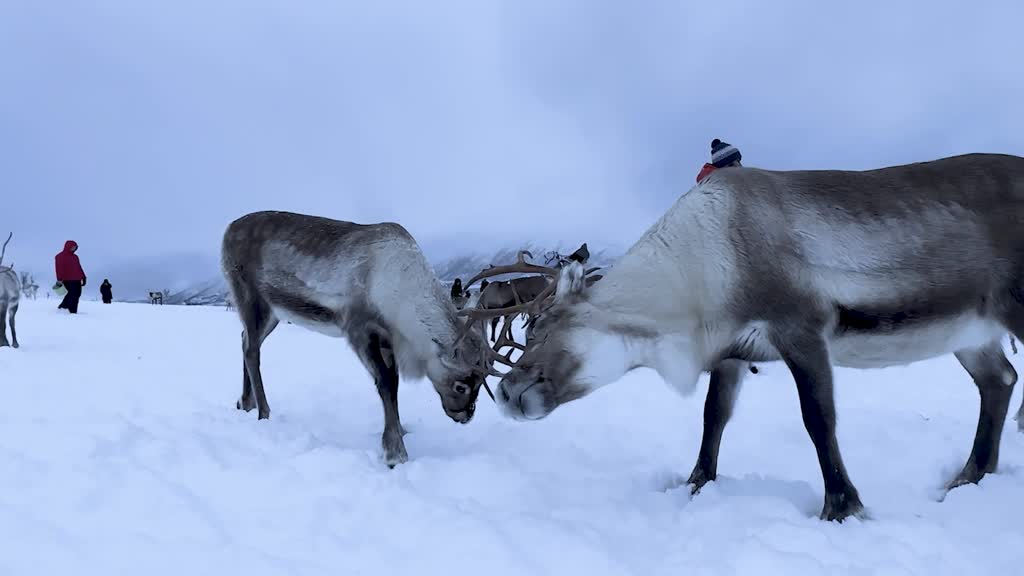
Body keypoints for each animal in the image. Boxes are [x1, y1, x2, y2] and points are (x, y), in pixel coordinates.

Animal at [221, 211, 494, 467]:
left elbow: (393, 384)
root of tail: (227, 229)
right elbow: (385, 384)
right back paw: (263, 412)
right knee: (251, 350)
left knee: (245, 339)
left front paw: (400, 432)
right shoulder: (359, 329)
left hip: (274, 313)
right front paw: (395, 453)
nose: (465, 416)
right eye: (461, 385)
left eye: (481, 382)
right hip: (252, 298)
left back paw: (245, 402)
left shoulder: (388, 340)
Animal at [458, 153, 1024, 522]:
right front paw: (694, 485)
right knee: (999, 379)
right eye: (532, 328)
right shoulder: (730, 353)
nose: (507, 392)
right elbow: (714, 418)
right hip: (971, 332)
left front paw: (842, 507)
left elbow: (819, 422)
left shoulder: (801, 330)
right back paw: (969, 476)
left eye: (546, 329)